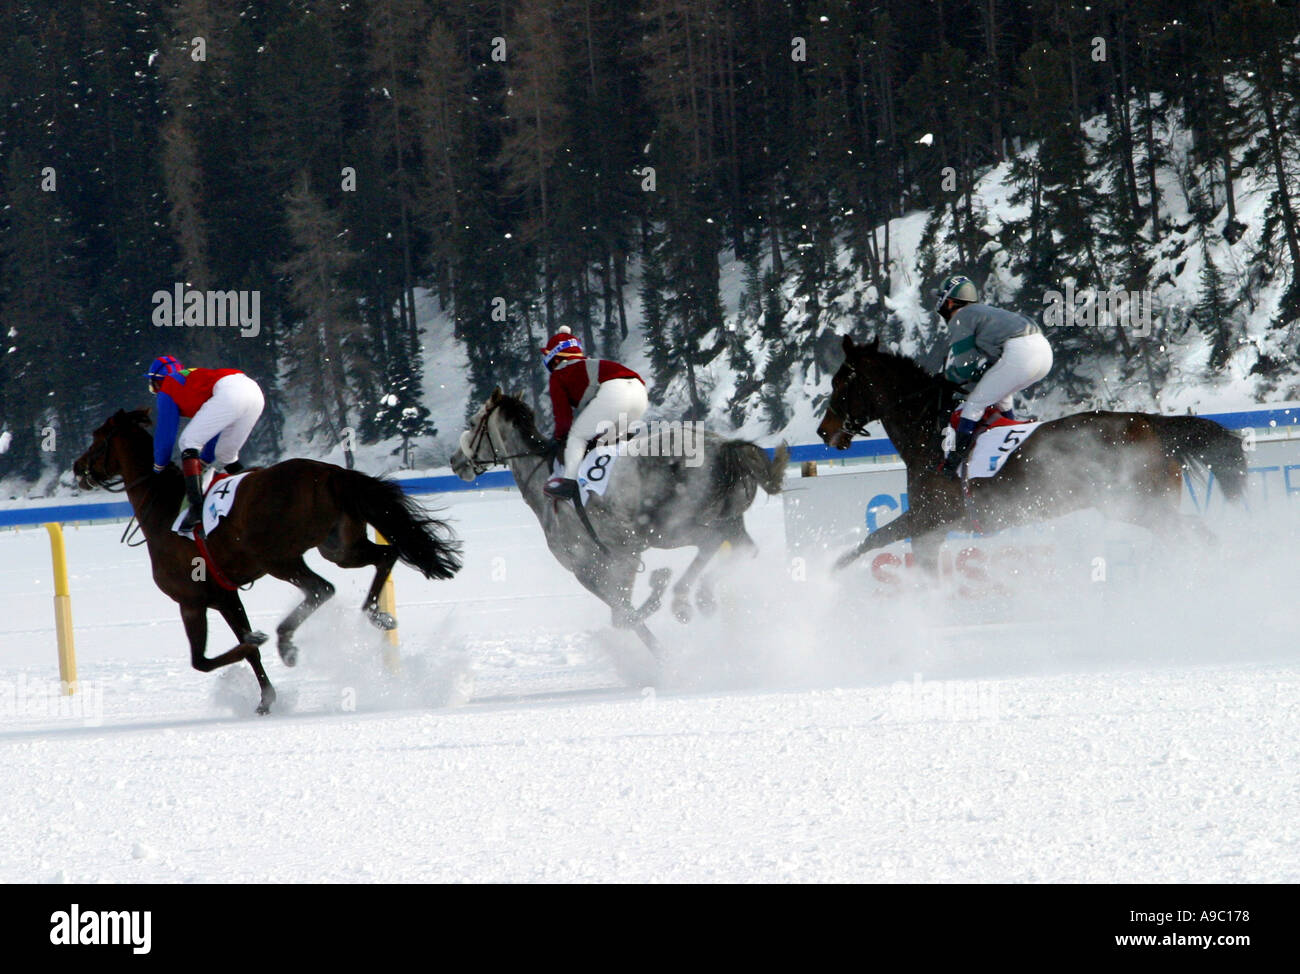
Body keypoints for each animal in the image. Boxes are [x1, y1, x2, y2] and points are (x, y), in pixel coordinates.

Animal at [73, 405, 462, 712]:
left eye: (96, 438)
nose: (78, 467)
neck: (161, 509)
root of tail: (332, 473)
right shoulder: (224, 596)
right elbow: (239, 653)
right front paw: (266, 697)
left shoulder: (193, 601)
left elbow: (204, 660)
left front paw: (260, 657)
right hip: (340, 548)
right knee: (386, 554)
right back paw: (375, 613)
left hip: (279, 558)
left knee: (322, 589)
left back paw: (286, 640)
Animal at [447, 387, 790, 652]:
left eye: (473, 422)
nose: (455, 461)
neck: (542, 478)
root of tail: (724, 445)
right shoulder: (623, 559)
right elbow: (623, 616)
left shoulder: (587, 568)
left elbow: (623, 617)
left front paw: (661, 649)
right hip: (723, 520)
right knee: (742, 548)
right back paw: (703, 595)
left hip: (668, 528)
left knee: (711, 542)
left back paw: (686, 598)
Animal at [811, 338, 1248, 574]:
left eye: (839, 382)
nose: (824, 431)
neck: (929, 434)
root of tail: (1147, 422)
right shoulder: (930, 529)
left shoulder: (929, 515)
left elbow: (872, 539)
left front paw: (826, 577)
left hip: (1142, 504)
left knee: (1196, 536)